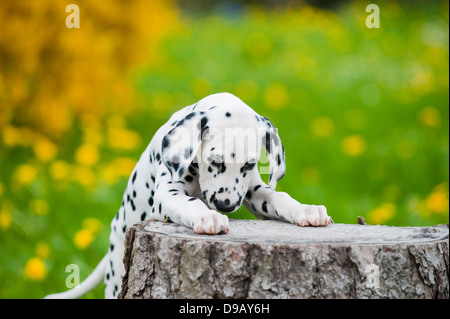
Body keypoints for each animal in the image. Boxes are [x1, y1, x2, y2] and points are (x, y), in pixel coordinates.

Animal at [45, 92, 332, 300]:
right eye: (215, 161)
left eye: (250, 164)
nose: (225, 205)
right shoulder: (167, 194)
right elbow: (190, 201)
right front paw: (208, 217)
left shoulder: (253, 190)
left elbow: (279, 197)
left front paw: (307, 210)